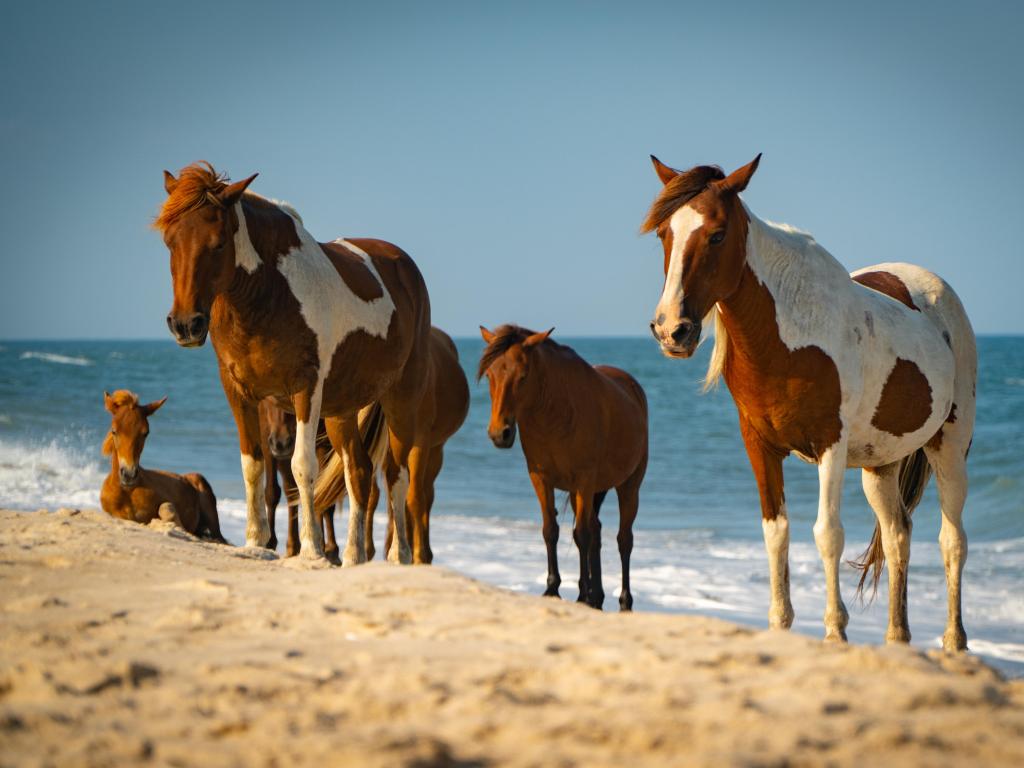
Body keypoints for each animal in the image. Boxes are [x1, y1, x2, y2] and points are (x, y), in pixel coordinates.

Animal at [260, 399, 344, 561]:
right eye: (269, 400)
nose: (280, 443)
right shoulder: (267, 439)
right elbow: (272, 492)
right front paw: (269, 542)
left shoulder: (324, 444)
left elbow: (325, 496)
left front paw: (330, 550)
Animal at [473, 325, 647, 614]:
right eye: (489, 374)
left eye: (523, 376)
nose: (500, 433)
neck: (555, 414)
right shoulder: (541, 479)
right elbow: (551, 530)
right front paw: (553, 589)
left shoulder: (583, 481)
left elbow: (582, 535)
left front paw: (580, 595)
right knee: (596, 531)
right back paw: (596, 597)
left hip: (628, 487)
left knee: (624, 540)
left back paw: (623, 601)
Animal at [638, 154, 974, 651]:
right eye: (665, 233)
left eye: (717, 234)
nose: (671, 330)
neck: (788, 337)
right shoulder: (758, 446)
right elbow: (776, 533)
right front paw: (780, 624)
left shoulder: (829, 445)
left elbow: (827, 534)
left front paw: (835, 630)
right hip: (881, 464)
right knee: (898, 536)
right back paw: (897, 637)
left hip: (949, 444)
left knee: (952, 540)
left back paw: (954, 641)